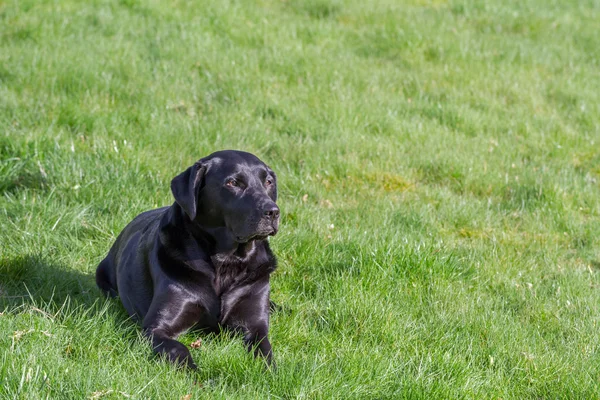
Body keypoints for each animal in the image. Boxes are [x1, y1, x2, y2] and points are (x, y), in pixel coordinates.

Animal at [95, 151, 280, 368]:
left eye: (268, 181)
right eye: (233, 183)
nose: (273, 212)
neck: (226, 261)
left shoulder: (255, 326)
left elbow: (265, 353)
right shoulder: (156, 329)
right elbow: (179, 348)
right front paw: (195, 373)